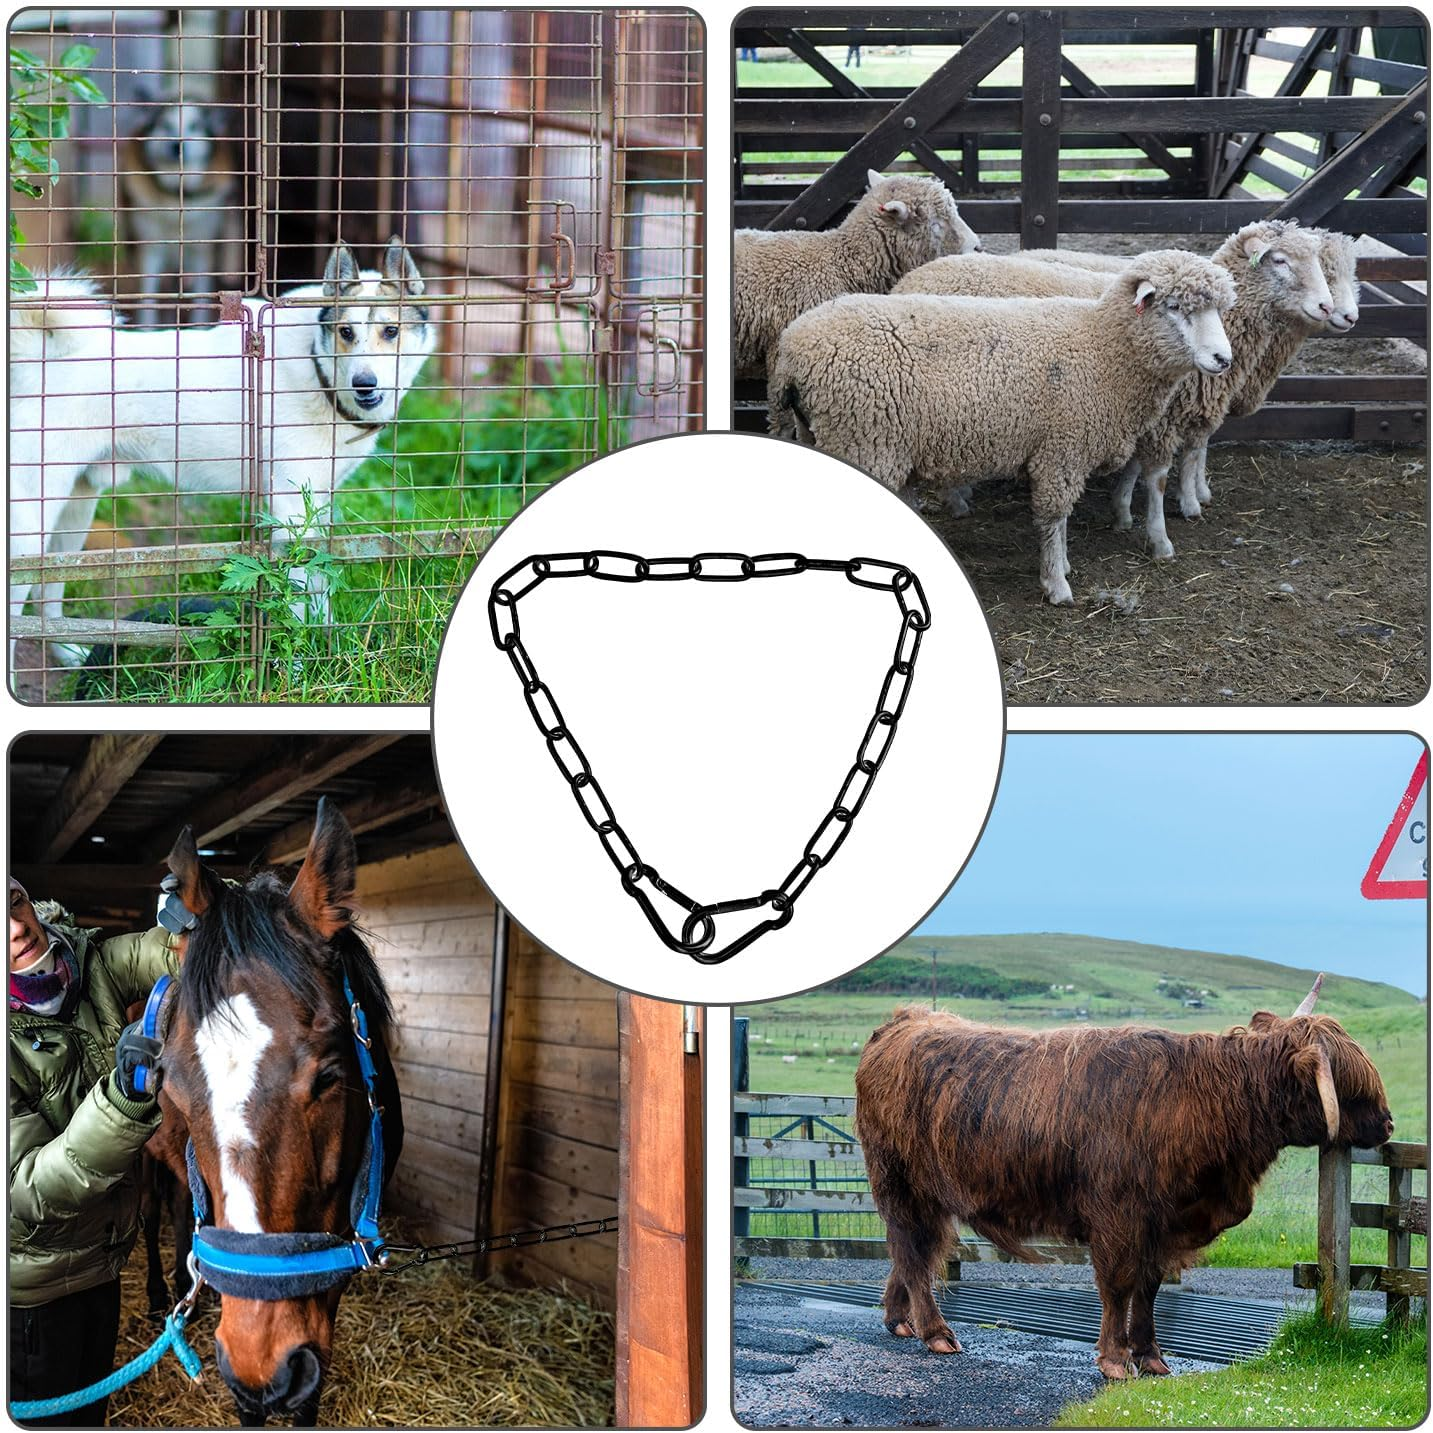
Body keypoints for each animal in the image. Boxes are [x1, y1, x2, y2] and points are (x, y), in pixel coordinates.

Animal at [852, 975, 1394, 1379]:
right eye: (1351, 1085)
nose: (1389, 1124)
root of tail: (905, 1019)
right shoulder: (1118, 1214)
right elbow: (1117, 1284)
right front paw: (1115, 1360)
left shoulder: (1165, 1222)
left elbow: (1148, 1286)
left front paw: (1150, 1356)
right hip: (899, 1183)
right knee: (913, 1251)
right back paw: (935, 1332)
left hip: (928, 1193)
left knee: (917, 1250)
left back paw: (898, 1319)